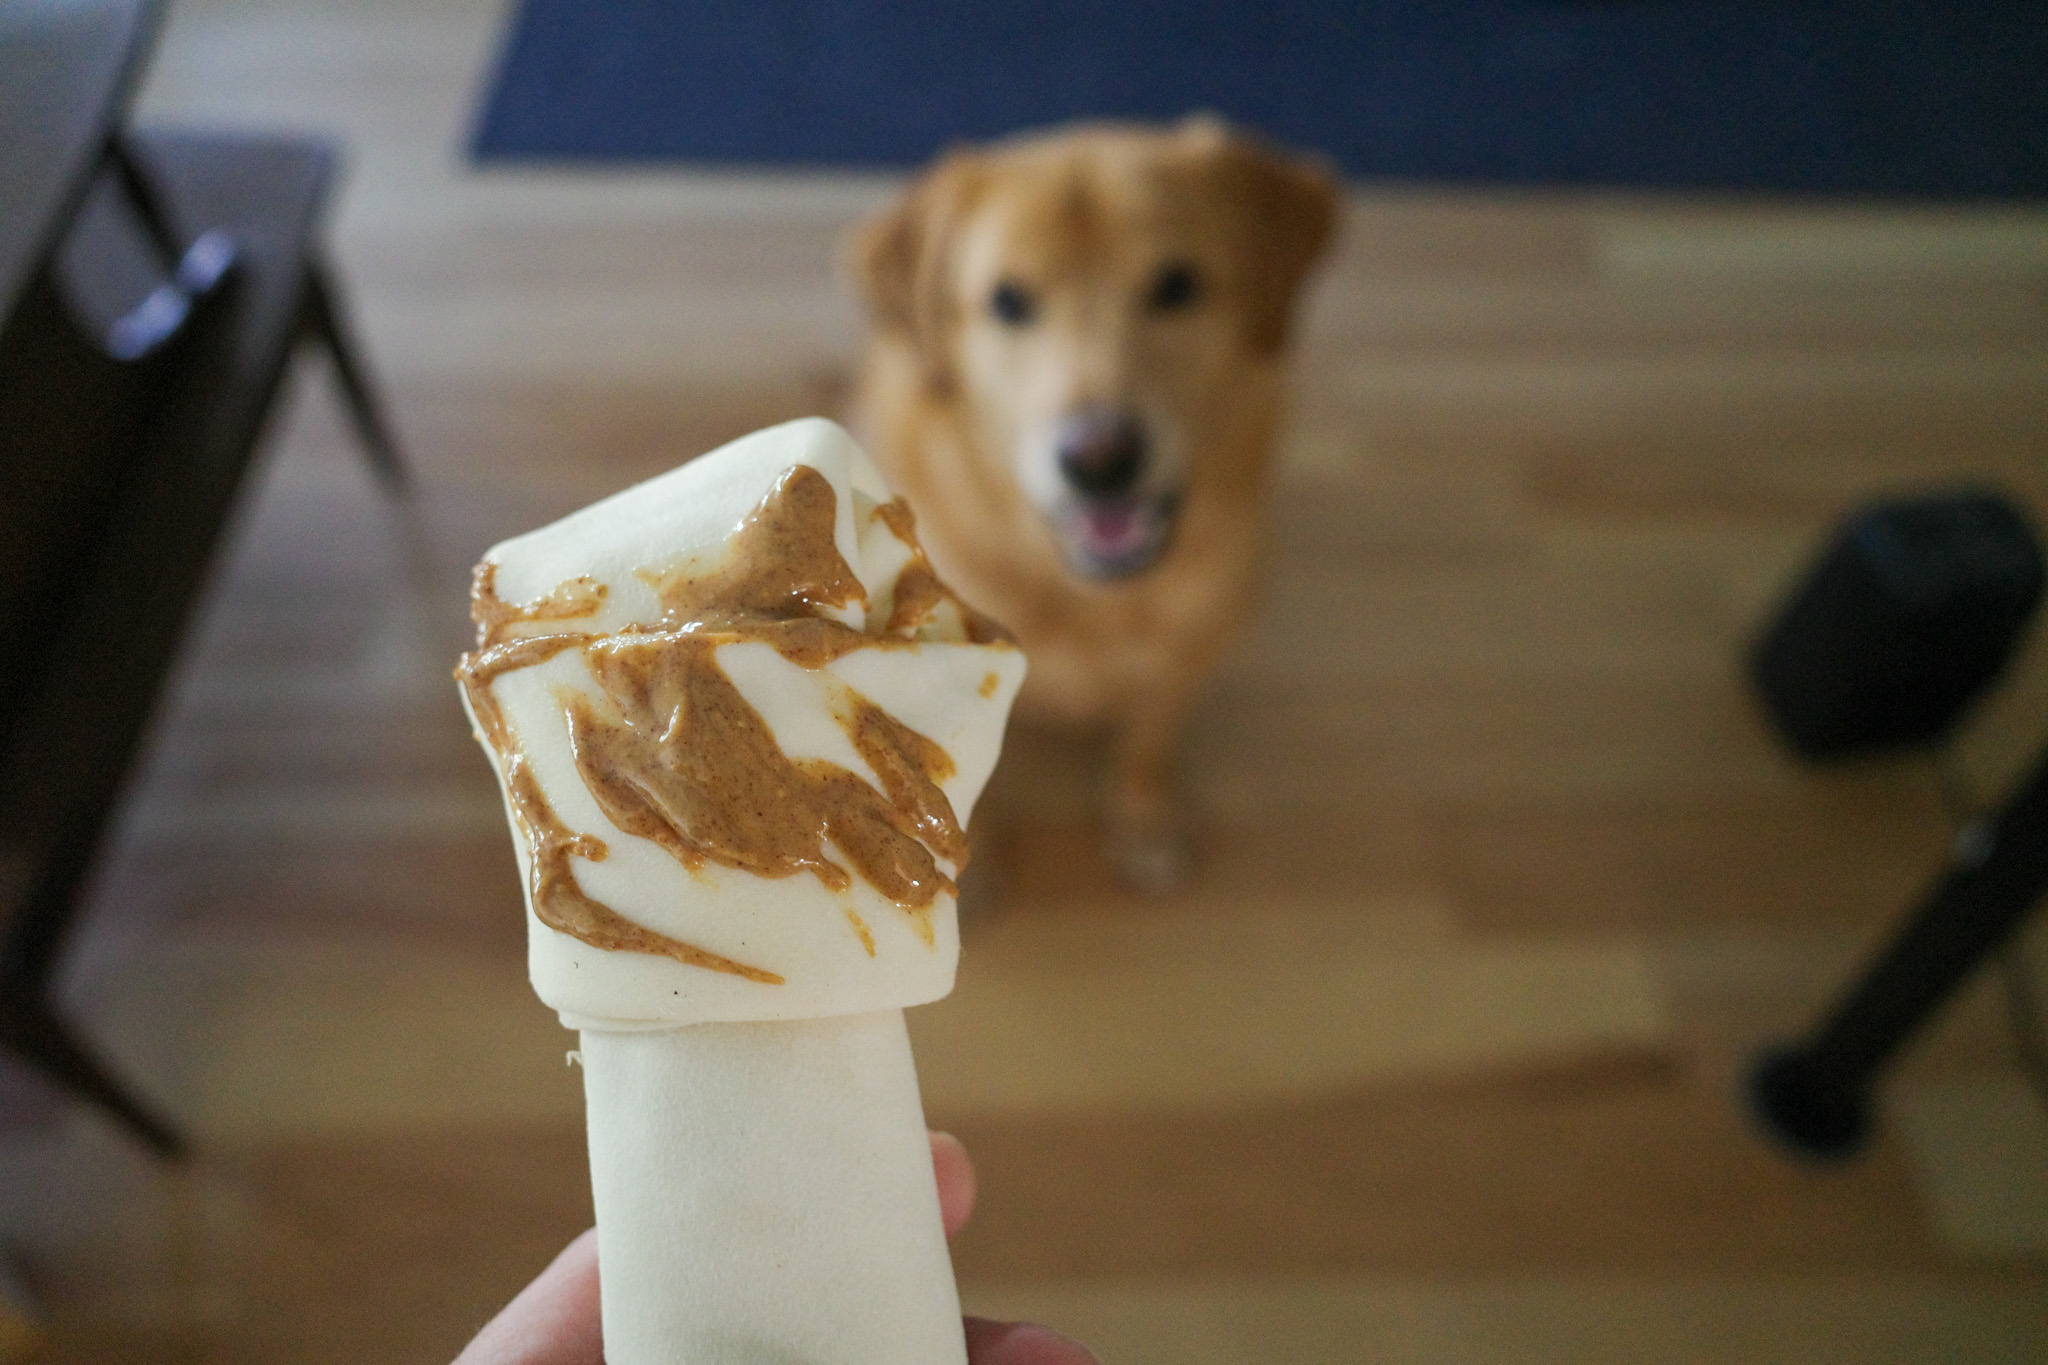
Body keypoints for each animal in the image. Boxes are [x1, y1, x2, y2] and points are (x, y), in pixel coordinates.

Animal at [843, 114, 1335, 888]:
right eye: (1008, 301)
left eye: (1177, 284)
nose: (1100, 460)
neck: (1085, 594)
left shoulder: (1186, 658)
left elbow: (1148, 739)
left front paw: (1145, 817)